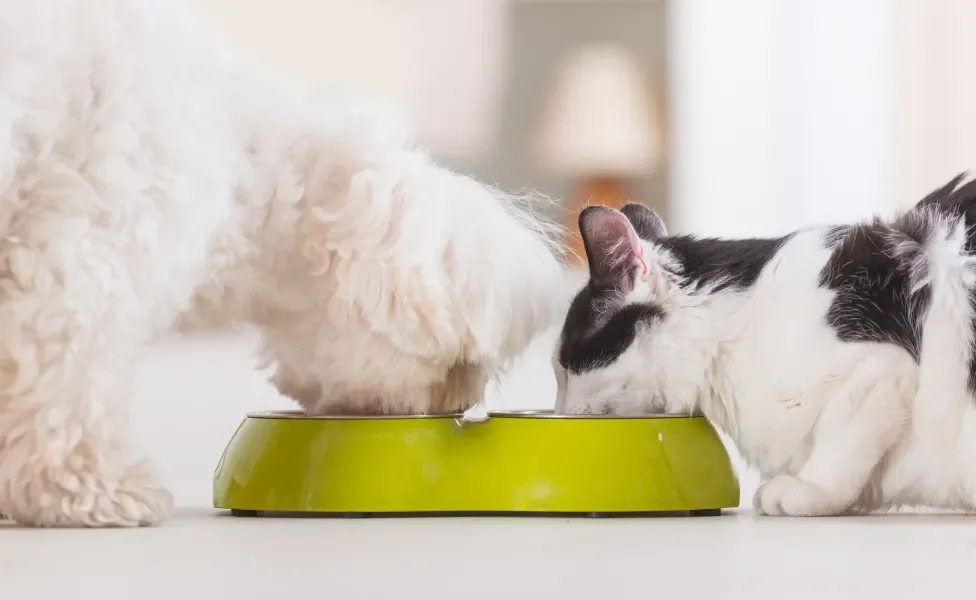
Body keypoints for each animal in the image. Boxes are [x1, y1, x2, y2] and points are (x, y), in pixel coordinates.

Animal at [0, 0, 564, 524]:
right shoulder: (91, 242)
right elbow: (67, 378)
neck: (244, 164)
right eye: (460, 363)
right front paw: (89, 489)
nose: (459, 404)